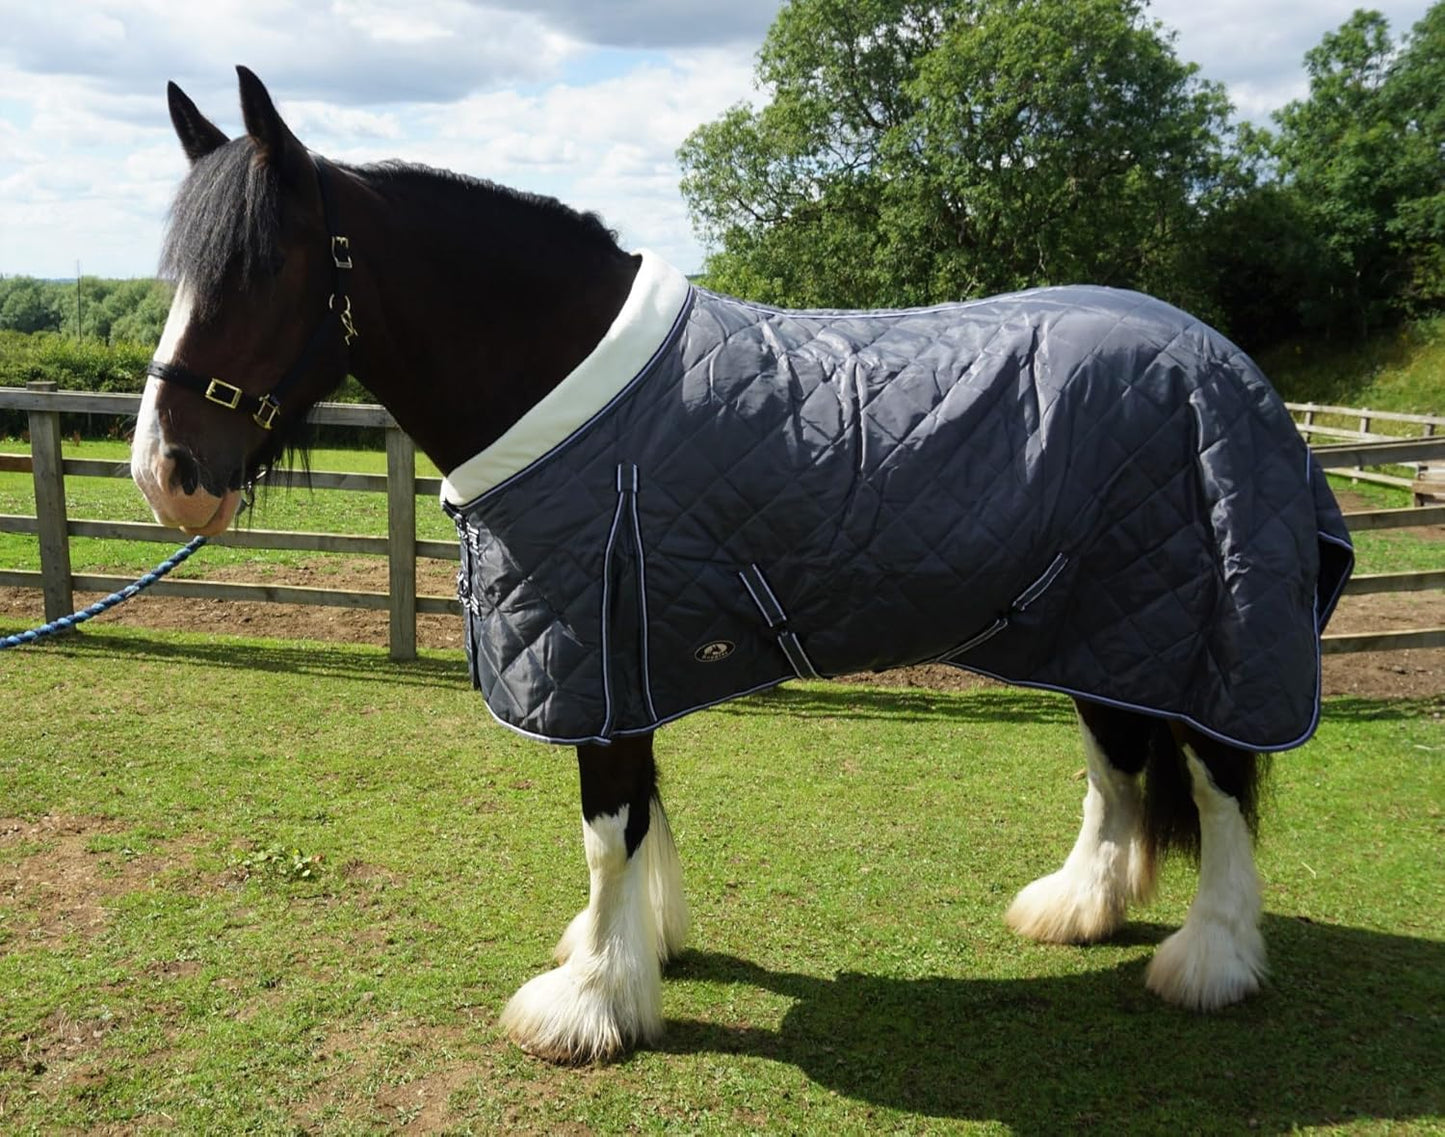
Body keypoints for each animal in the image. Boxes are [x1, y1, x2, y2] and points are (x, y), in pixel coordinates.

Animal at [130, 68, 1353, 1064]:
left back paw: (1210, 962)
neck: (570, 390)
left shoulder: (603, 650)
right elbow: (639, 818)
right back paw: (1078, 908)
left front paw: (589, 1002)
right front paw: (638, 953)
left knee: (1218, 778)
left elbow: (607, 830)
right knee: (1117, 763)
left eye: (257, 269)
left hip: (1209, 630)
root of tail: (1228, 367)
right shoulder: (629, 652)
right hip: (1103, 627)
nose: (167, 473)